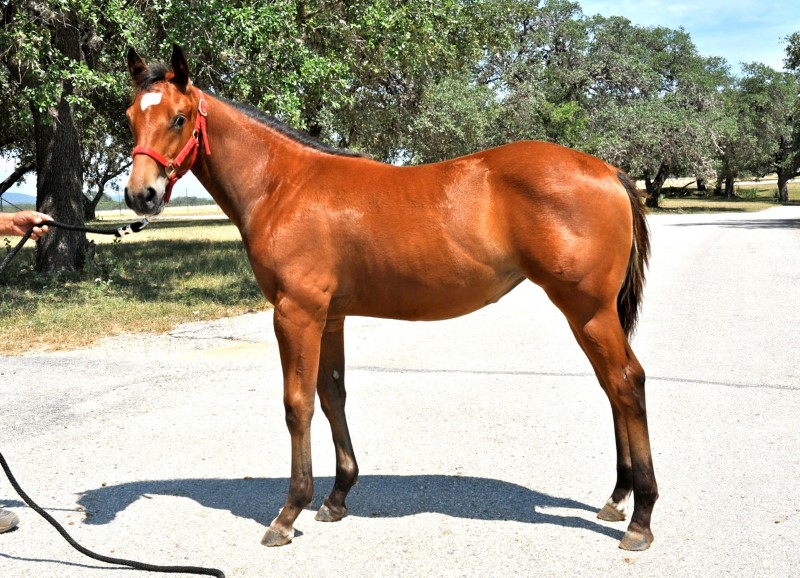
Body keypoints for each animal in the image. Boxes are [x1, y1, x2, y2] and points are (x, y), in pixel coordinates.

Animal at [120, 46, 656, 548]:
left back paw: (641, 519)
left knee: (627, 383)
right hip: (589, 314)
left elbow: (298, 405)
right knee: (612, 386)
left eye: (179, 118)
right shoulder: (329, 317)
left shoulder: (296, 313)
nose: (140, 195)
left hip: (586, 310)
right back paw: (617, 500)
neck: (283, 185)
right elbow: (332, 395)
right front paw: (336, 498)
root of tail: (608, 171)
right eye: (130, 116)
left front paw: (288, 514)